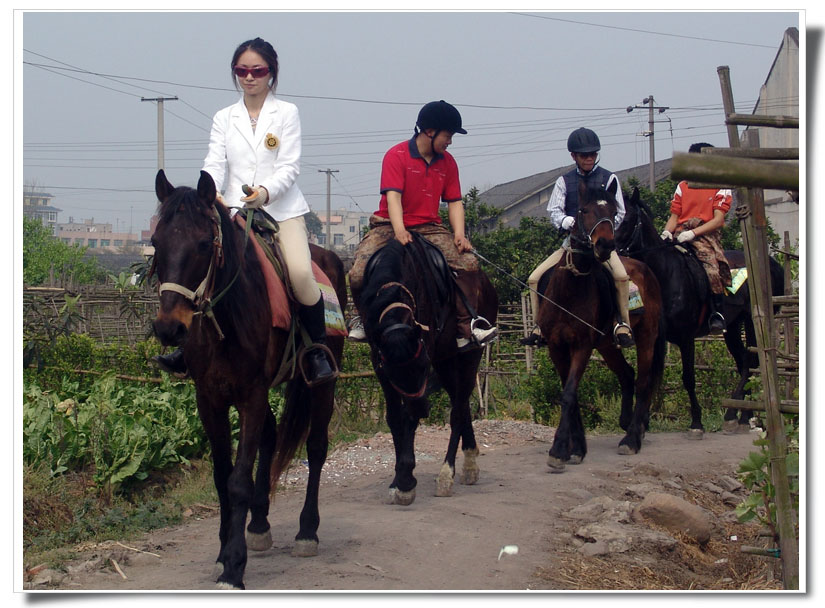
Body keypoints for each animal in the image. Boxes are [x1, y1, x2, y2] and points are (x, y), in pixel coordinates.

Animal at [150, 171, 344, 588]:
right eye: (157, 242)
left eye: (203, 243)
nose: (170, 329)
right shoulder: (209, 399)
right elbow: (222, 476)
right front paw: (225, 550)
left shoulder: (250, 395)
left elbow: (238, 480)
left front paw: (233, 566)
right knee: (271, 437)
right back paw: (258, 526)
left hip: (323, 383)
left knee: (316, 447)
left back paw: (307, 531)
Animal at [356, 235, 496, 506]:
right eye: (393, 373)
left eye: (422, 366)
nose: (424, 408)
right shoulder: (379, 361)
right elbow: (394, 417)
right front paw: (398, 479)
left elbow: (409, 417)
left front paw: (406, 481)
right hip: (445, 360)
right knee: (460, 403)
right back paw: (470, 462)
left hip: (469, 355)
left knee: (458, 409)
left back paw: (447, 474)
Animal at [536, 178, 668, 472]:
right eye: (583, 210)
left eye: (613, 211)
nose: (606, 245)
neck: (571, 288)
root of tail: (646, 269)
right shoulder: (556, 347)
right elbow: (569, 393)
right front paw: (576, 448)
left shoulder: (582, 346)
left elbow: (569, 394)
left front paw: (559, 450)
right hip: (607, 344)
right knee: (627, 374)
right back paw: (627, 424)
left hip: (647, 336)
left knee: (643, 380)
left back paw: (632, 439)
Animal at [612, 188, 784, 434]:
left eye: (625, 220)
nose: (609, 251)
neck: (665, 274)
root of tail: (772, 264)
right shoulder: (656, 337)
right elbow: (651, 377)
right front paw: (641, 422)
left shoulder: (686, 338)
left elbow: (688, 378)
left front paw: (696, 422)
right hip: (733, 327)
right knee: (743, 361)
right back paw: (744, 416)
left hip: (753, 321)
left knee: (751, 363)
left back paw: (734, 414)